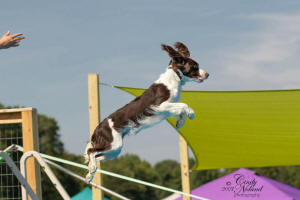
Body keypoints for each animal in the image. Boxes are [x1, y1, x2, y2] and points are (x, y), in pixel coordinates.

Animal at [84, 41, 210, 182]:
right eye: (195, 66)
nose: (207, 74)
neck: (174, 78)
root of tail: (97, 128)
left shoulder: (168, 108)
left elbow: (181, 109)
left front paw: (180, 122)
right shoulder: (160, 105)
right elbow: (184, 105)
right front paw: (191, 114)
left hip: (114, 150)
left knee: (95, 156)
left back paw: (90, 172)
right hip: (113, 144)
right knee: (91, 151)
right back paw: (91, 170)